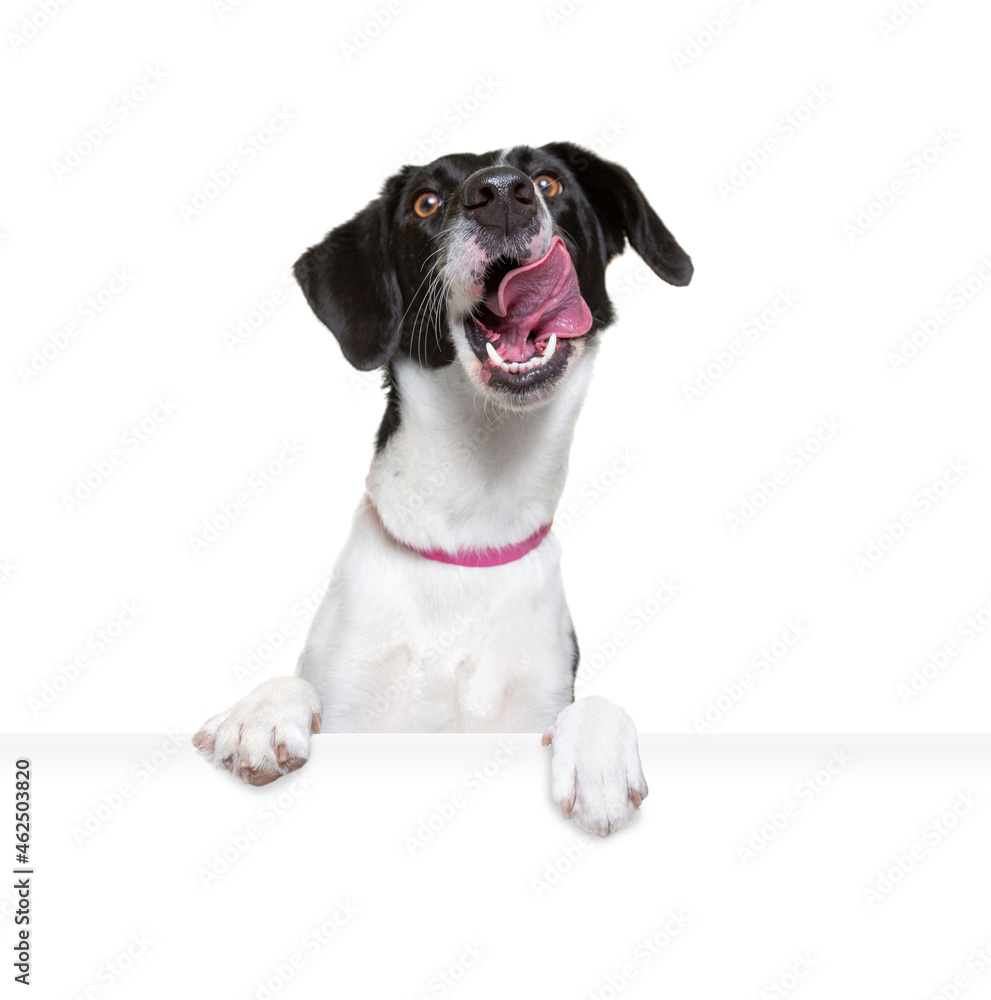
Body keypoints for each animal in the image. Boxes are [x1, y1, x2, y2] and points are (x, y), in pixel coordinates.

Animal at [192, 143, 688, 836]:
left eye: (548, 182)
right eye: (426, 202)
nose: (502, 193)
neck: (469, 524)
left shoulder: (538, 699)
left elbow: (592, 702)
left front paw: (599, 757)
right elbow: (300, 683)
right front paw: (259, 714)